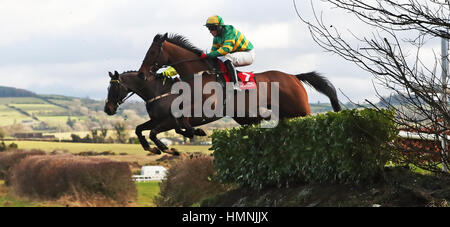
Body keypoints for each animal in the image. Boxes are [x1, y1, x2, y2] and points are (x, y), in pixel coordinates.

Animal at [137, 33, 342, 127]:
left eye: (153, 52)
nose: (141, 74)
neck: (200, 73)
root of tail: (294, 77)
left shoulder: (208, 109)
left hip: (301, 110)